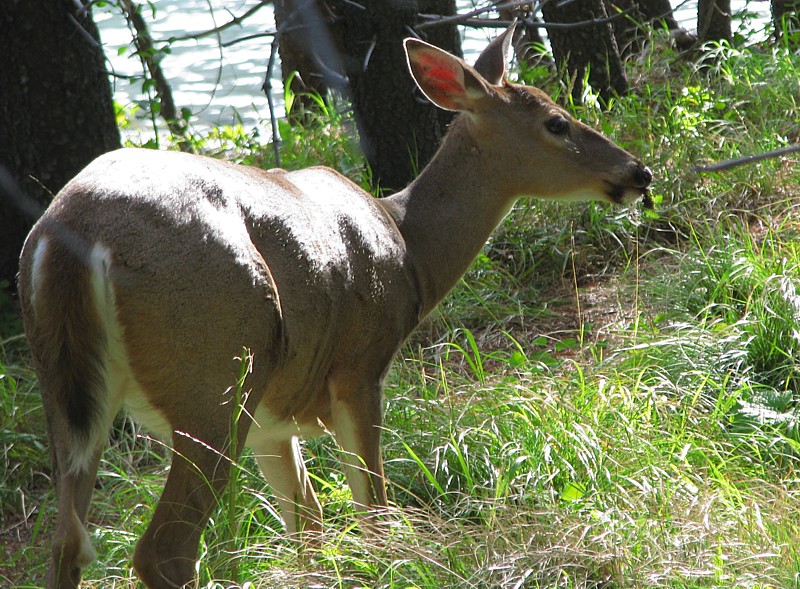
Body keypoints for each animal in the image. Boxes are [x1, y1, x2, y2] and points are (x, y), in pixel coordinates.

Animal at [18, 22, 651, 589]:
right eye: (556, 122)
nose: (638, 172)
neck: (410, 248)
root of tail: (72, 234)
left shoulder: (275, 417)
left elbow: (309, 525)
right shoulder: (360, 369)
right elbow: (375, 512)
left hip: (73, 393)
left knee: (67, 544)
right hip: (216, 370)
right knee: (163, 552)